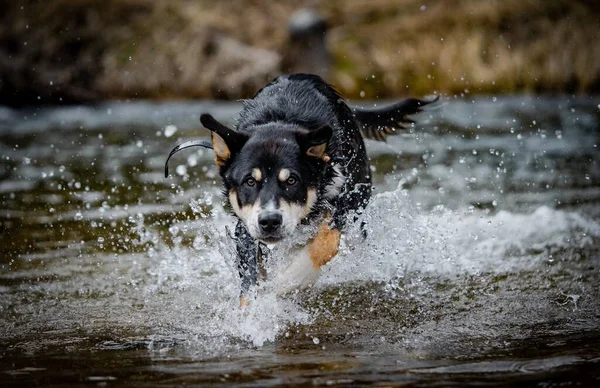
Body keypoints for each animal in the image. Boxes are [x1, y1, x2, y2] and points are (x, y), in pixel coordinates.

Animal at [165, 73, 436, 302]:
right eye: (250, 181)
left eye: (292, 181)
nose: (270, 221)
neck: (279, 123)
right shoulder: (246, 225)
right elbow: (249, 284)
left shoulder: (345, 205)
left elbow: (323, 245)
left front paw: (288, 282)